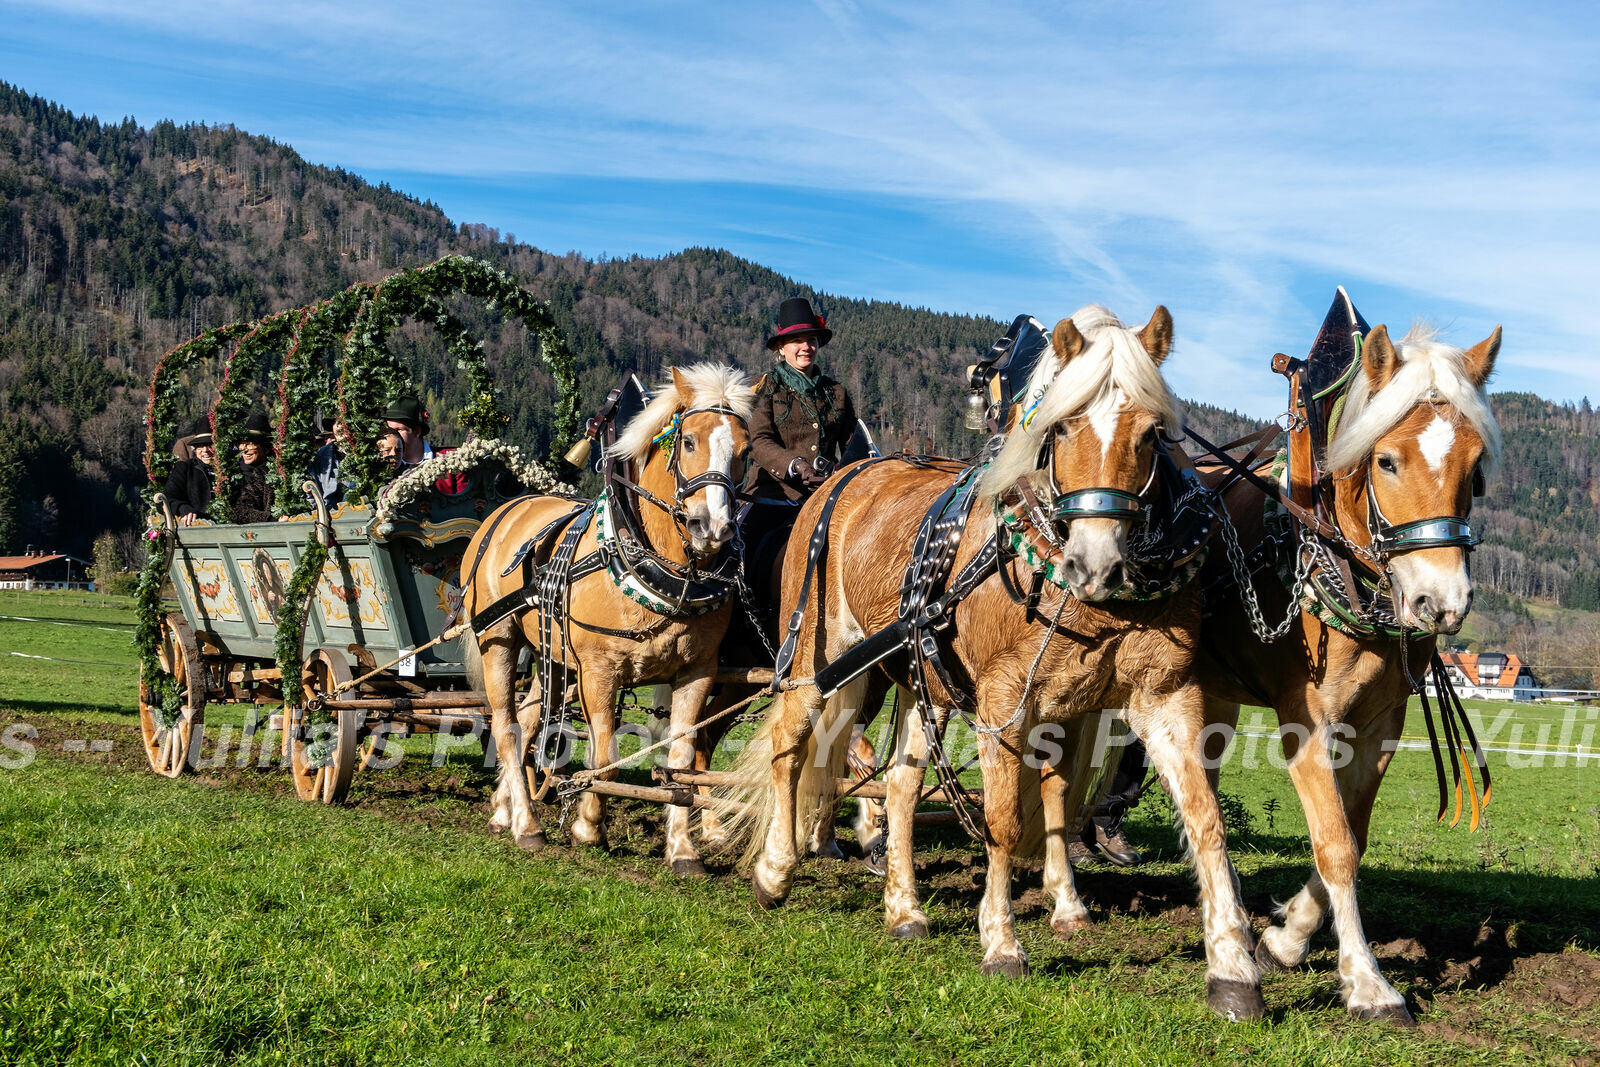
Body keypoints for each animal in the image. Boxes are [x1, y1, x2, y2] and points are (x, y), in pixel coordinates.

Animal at [464, 367, 755, 876]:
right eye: (689, 442)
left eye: (744, 451)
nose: (713, 528)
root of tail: (503, 511)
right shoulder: (598, 671)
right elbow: (606, 759)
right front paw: (588, 827)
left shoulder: (698, 671)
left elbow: (682, 759)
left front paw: (683, 849)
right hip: (497, 640)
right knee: (506, 727)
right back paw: (527, 825)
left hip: (550, 657)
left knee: (528, 719)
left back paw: (504, 810)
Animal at [729, 307, 1273, 1017]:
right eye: (1061, 425)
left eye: (1154, 432)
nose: (1096, 564)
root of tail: (842, 478)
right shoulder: (1003, 701)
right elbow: (1006, 818)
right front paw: (1001, 943)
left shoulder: (1157, 695)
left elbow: (1191, 817)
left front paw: (1230, 965)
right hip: (819, 655)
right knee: (791, 745)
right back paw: (774, 870)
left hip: (917, 679)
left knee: (900, 783)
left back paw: (904, 908)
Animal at [1184, 321, 1504, 1023]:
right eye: (1386, 460)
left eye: (1476, 470)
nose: (1441, 602)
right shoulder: (1303, 720)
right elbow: (1332, 840)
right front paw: (1367, 980)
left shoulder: (1382, 724)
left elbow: (1352, 833)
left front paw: (1287, 936)